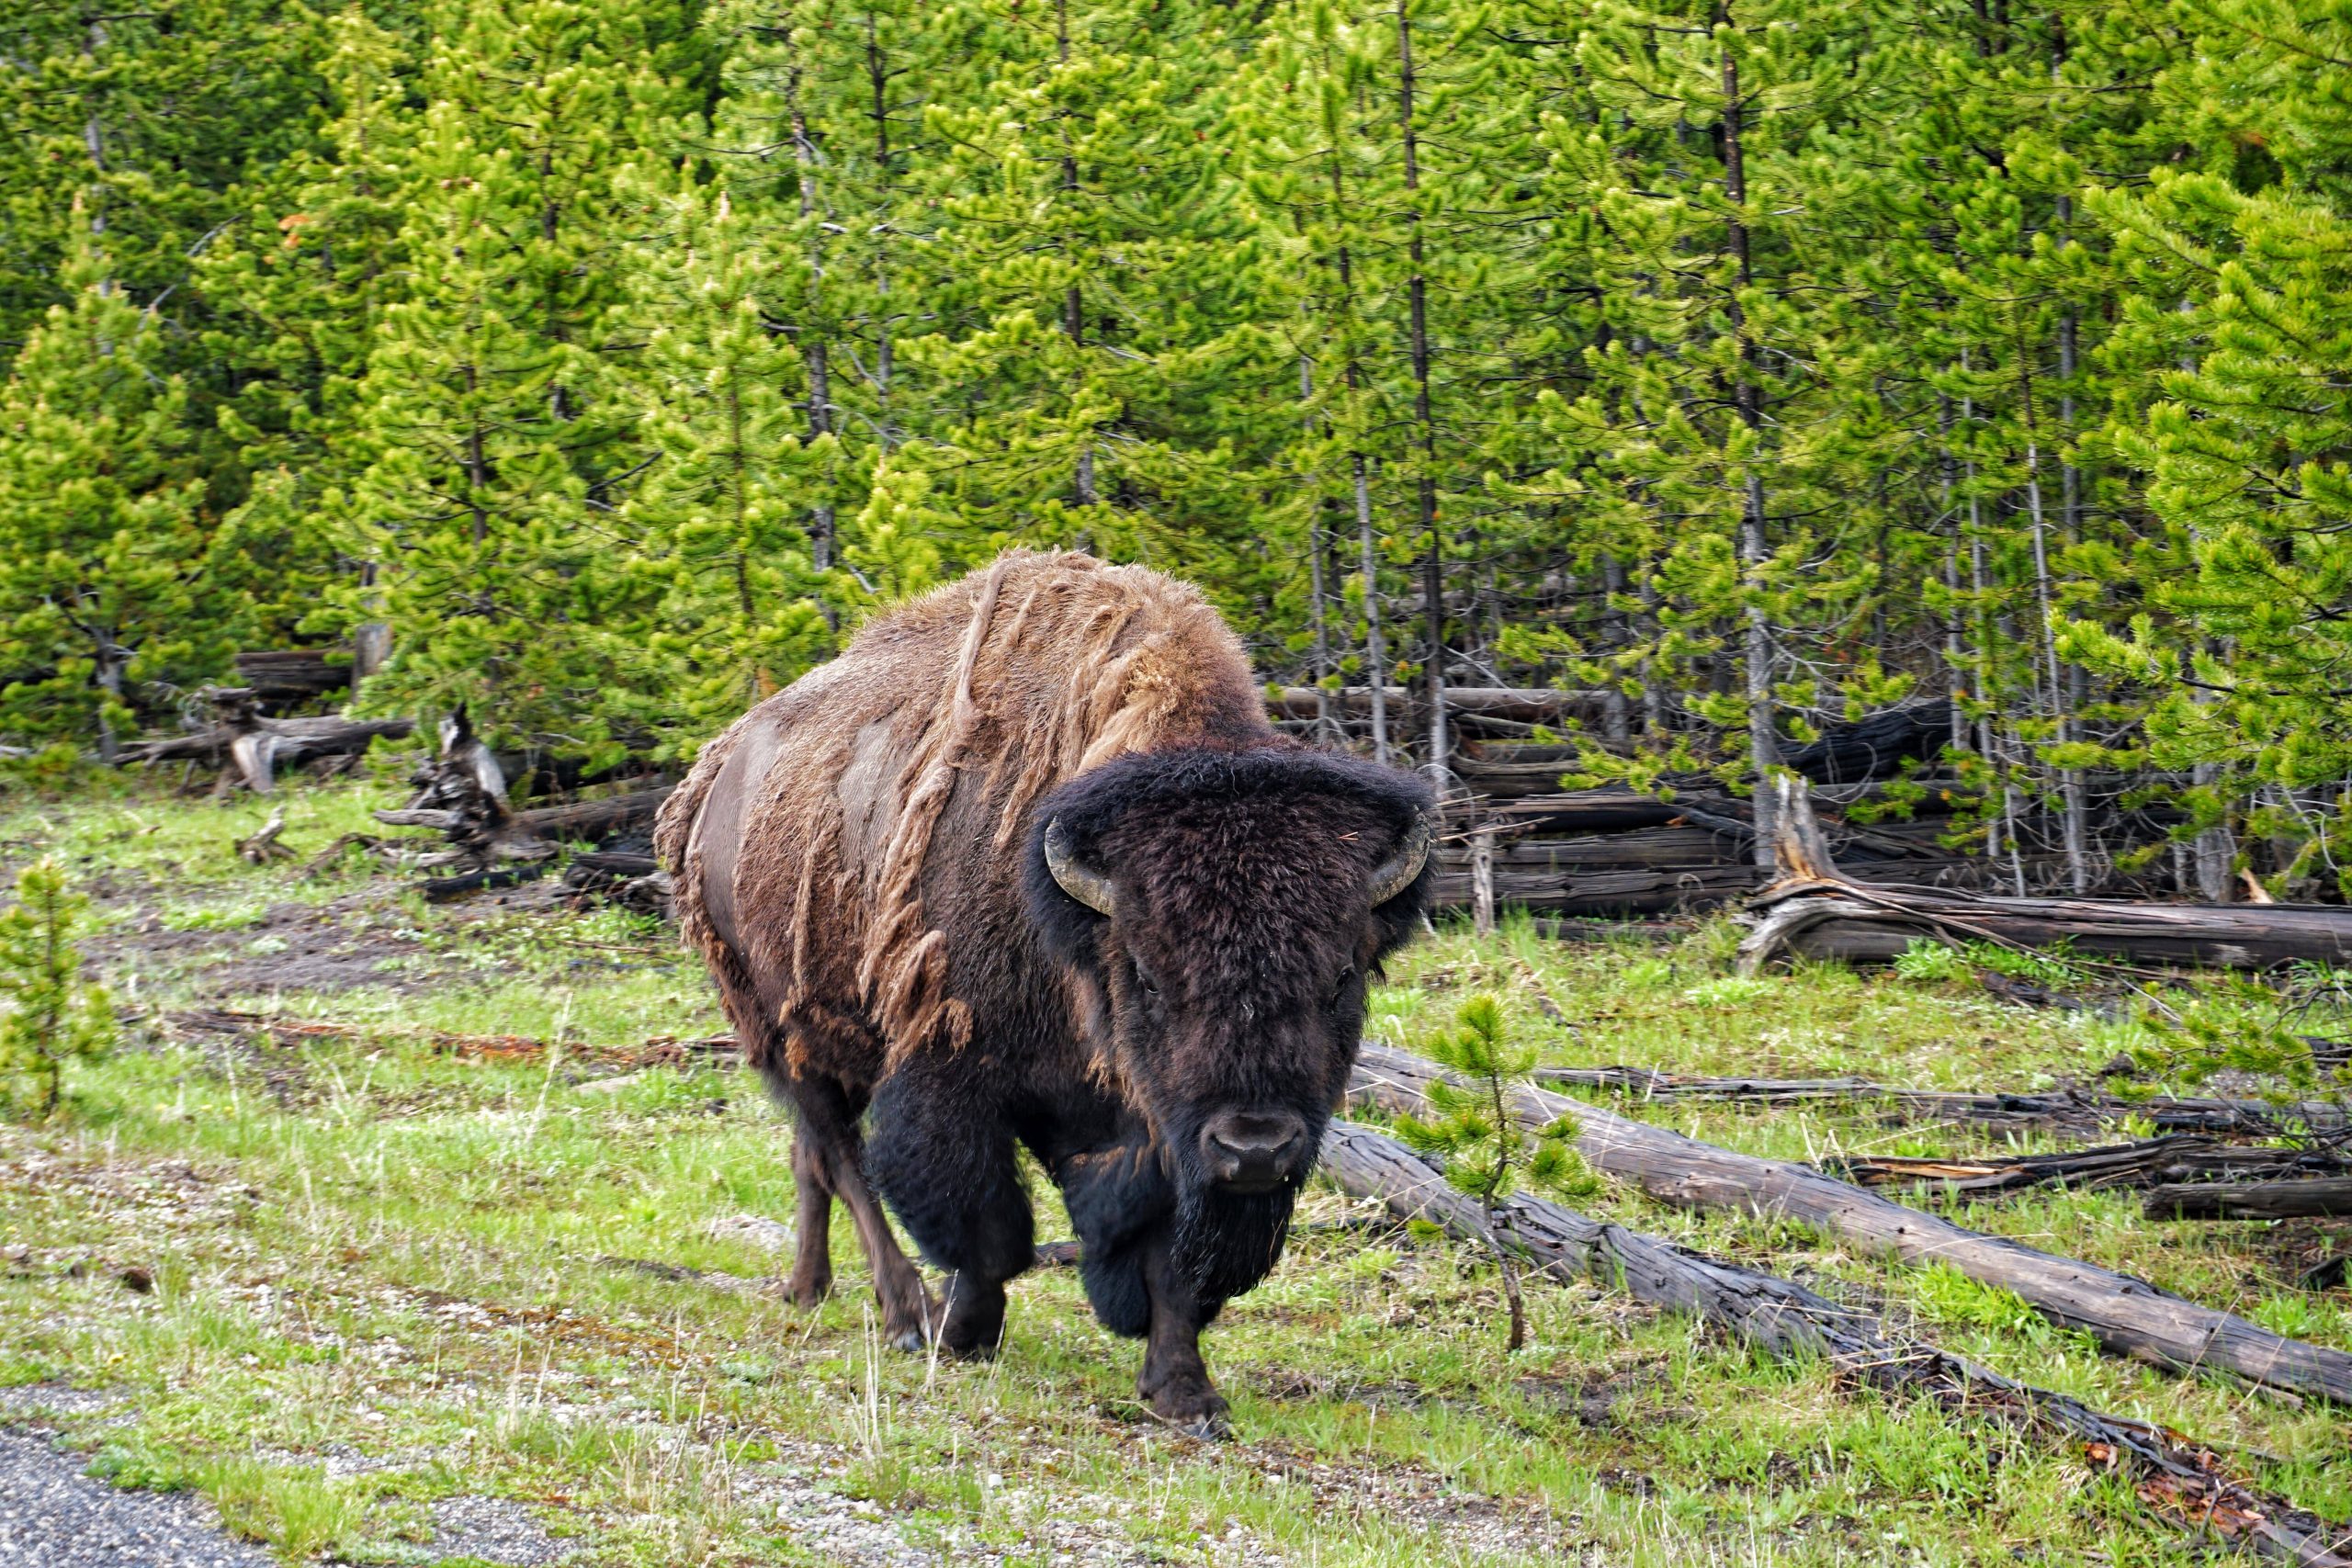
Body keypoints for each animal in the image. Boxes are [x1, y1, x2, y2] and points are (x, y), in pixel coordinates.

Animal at [662, 552, 1430, 1438]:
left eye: (1342, 975)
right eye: (1149, 974)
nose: (1256, 1146)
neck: (1073, 928)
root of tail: (715, 774)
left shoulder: (1157, 1129)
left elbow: (1165, 1256)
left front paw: (1186, 1392)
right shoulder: (952, 1075)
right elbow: (986, 1231)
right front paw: (963, 1332)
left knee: (809, 1158)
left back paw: (808, 1287)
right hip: (777, 1028)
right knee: (843, 1160)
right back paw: (904, 1313)